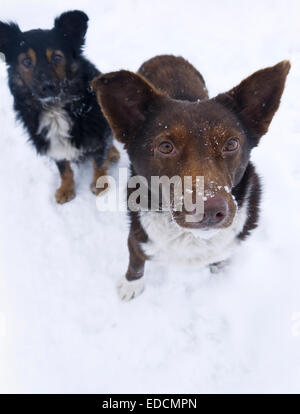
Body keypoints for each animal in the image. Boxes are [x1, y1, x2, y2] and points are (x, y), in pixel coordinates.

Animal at [0, 9, 119, 204]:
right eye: (26, 62)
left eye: (57, 57)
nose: (47, 86)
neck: (55, 106)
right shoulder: (50, 142)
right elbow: (63, 168)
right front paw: (66, 189)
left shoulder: (99, 131)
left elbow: (99, 161)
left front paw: (99, 185)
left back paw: (113, 152)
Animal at [92, 55, 290, 300]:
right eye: (166, 146)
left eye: (231, 144)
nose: (210, 210)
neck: (191, 238)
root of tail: (164, 55)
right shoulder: (137, 236)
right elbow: (136, 261)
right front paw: (132, 284)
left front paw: (218, 264)